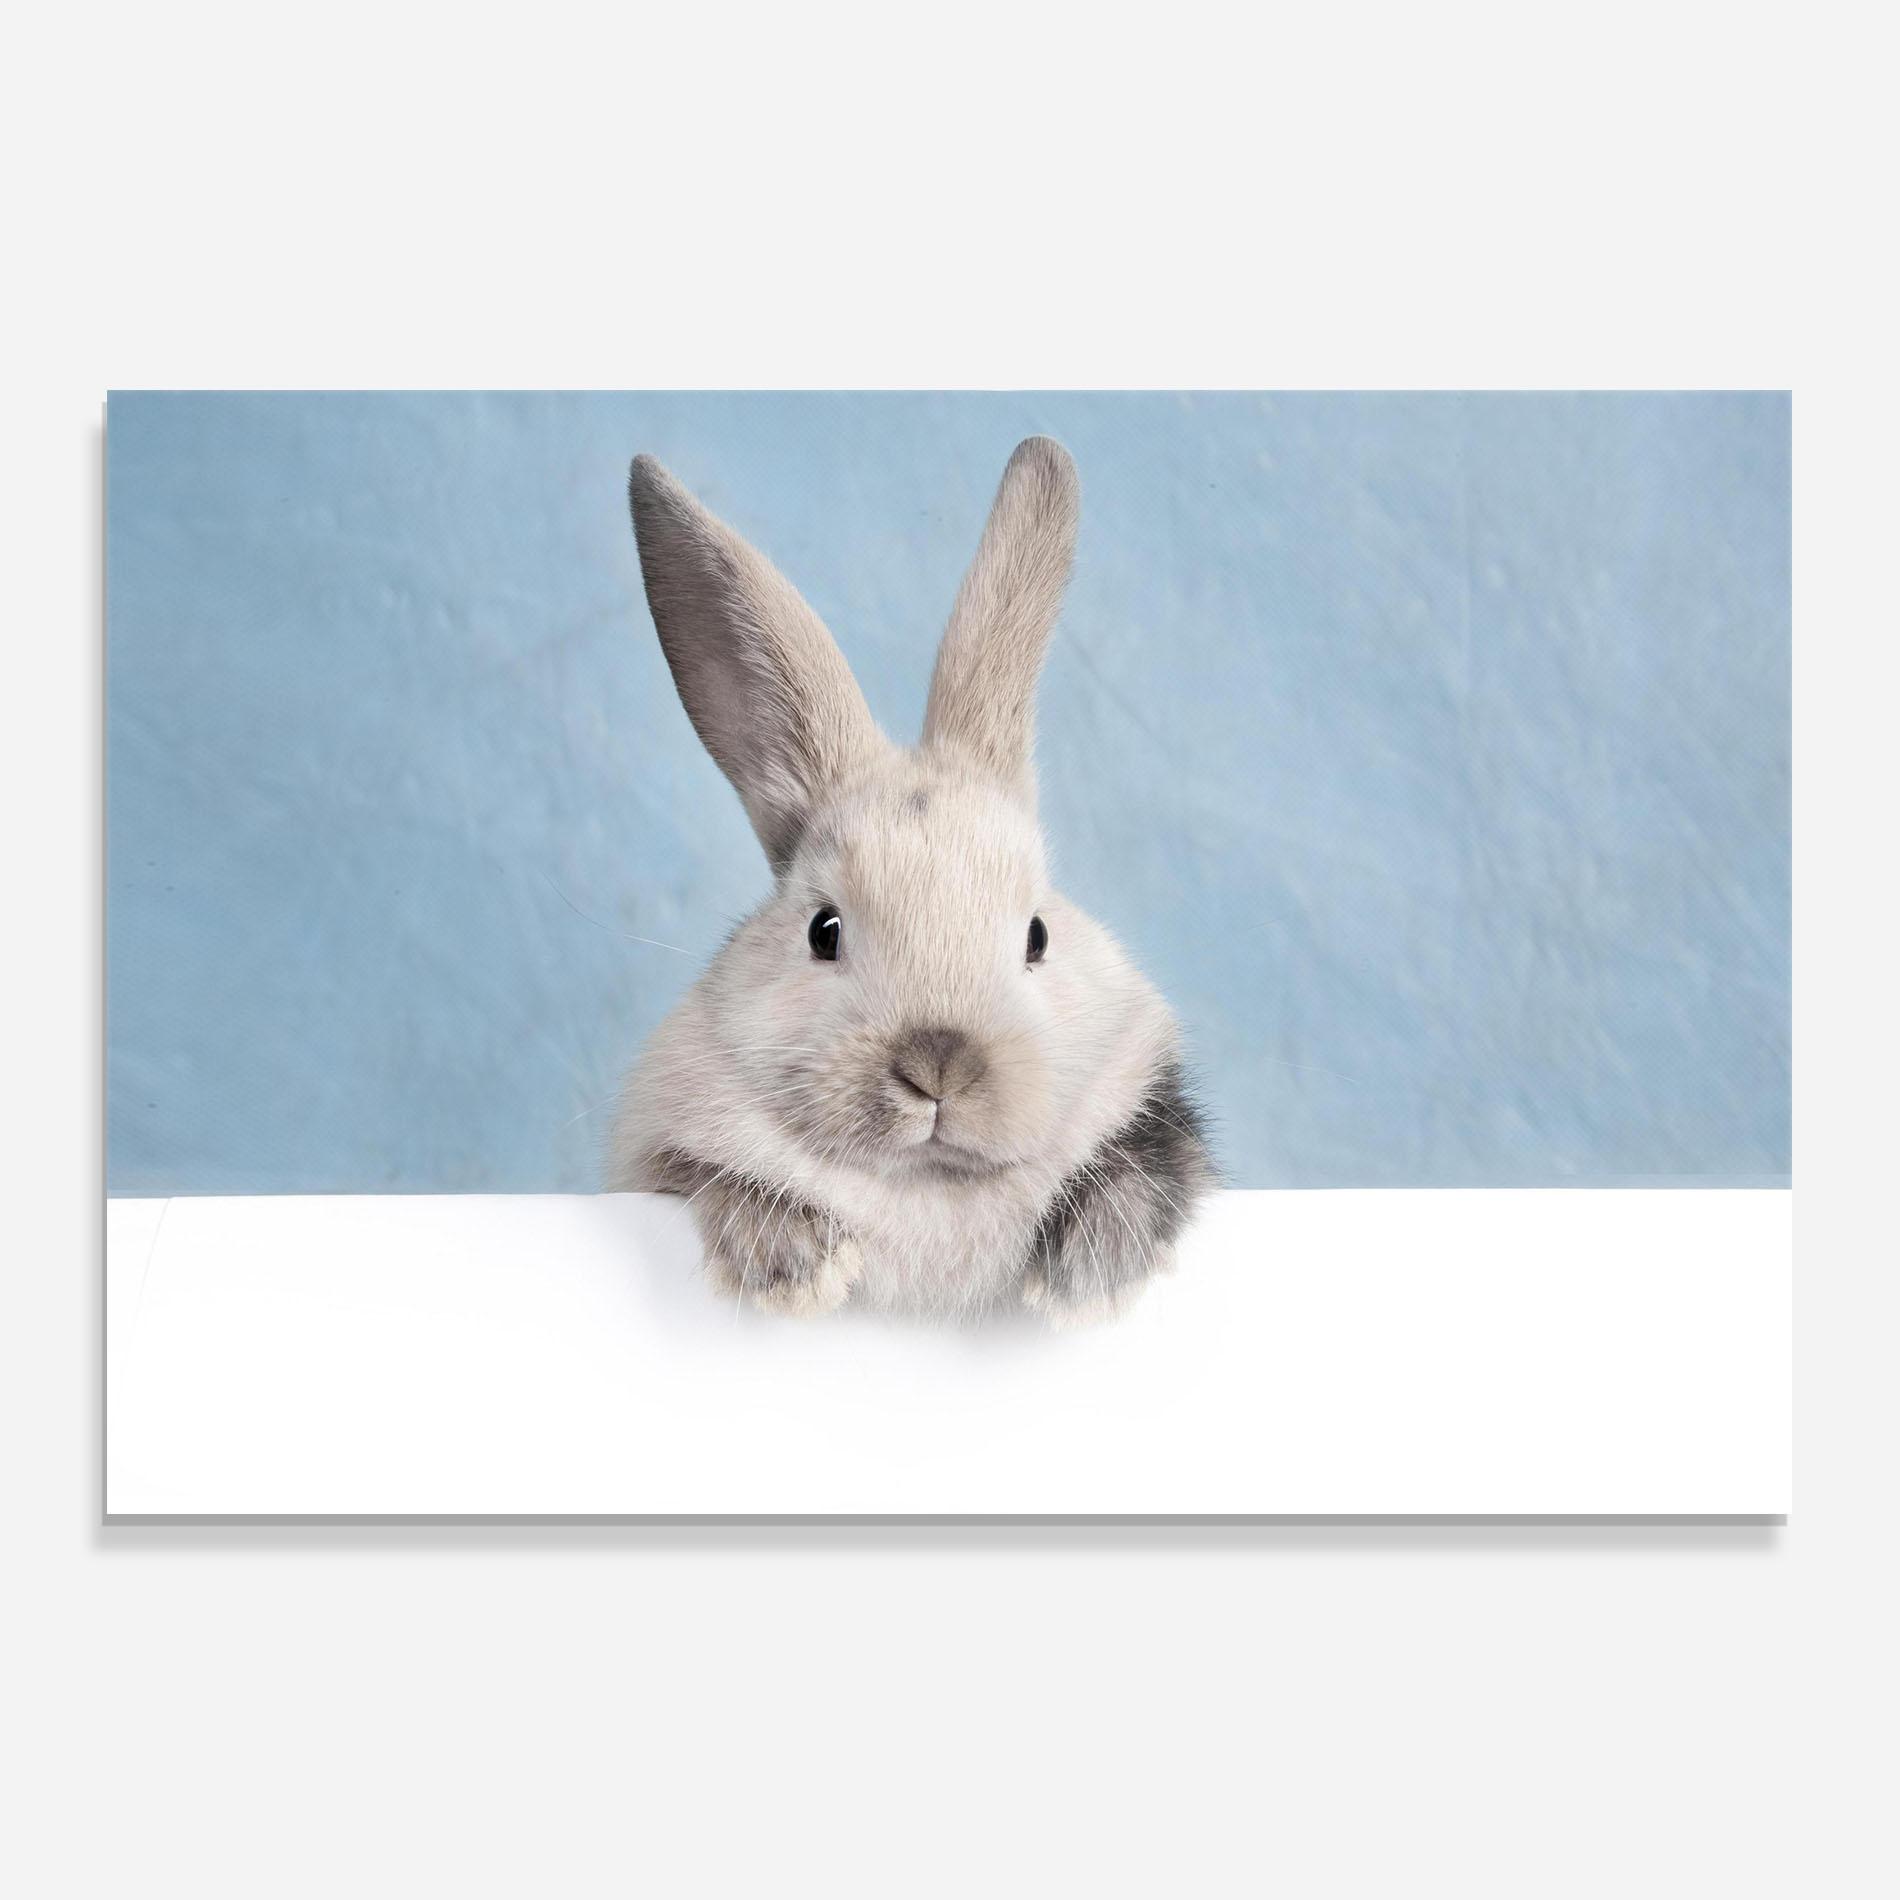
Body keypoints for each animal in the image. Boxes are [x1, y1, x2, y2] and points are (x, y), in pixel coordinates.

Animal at [607, 436, 1215, 1323]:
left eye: (1037, 935)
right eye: (823, 930)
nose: (940, 1065)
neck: (929, 1191)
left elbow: (1136, 1171)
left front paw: (1089, 1275)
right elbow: (723, 1182)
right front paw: (798, 1267)